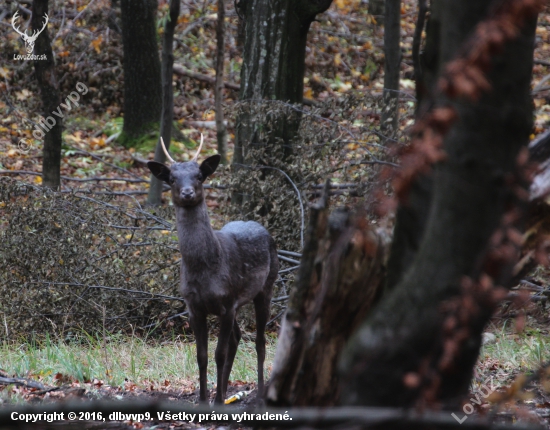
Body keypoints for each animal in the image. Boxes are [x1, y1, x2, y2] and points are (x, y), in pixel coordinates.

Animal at [147, 136, 278, 404]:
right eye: (172, 179)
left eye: (199, 175)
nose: (187, 192)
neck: (205, 269)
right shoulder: (195, 306)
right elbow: (202, 356)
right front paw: (204, 399)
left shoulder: (226, 303)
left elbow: (219, 353)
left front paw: (215, 401)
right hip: (237, 303)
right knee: (238, 337)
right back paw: (227, 392)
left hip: (266, 287)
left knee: (260, 342)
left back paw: (258, 394)